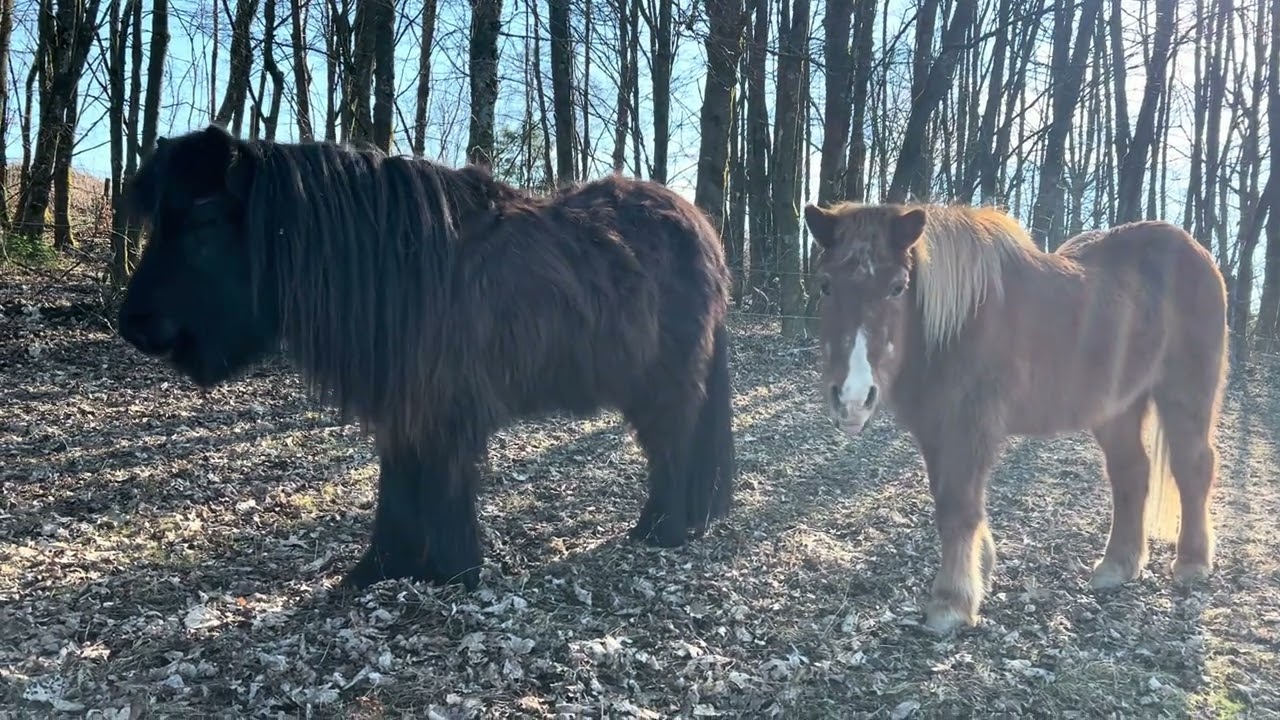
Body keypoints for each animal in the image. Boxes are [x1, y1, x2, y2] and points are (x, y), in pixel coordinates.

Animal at [114, 124, 737, 591]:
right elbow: (398, 485)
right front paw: (380, 570)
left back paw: (660, 530)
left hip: (666, 386)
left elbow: (444, 483)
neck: (399, 265)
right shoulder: (404, 408)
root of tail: (705, 231)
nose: (133, 326)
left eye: (204, 220)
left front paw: (455, 572)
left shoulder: (445, 406)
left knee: (673, 450)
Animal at [803, 201, 1228, 635]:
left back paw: (1192, 562)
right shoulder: (936, 430)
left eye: (897, 286)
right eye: (825, 284)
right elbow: (954, 501)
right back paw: (1117, 566)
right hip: (1118, 408)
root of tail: (1197, 253)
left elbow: (957, 507)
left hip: (1184, 393)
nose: (852, 399)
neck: (957, 326)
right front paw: (982, 570)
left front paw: (952, 602)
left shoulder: (969, 427)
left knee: (1192, 467)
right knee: (1132, 472)